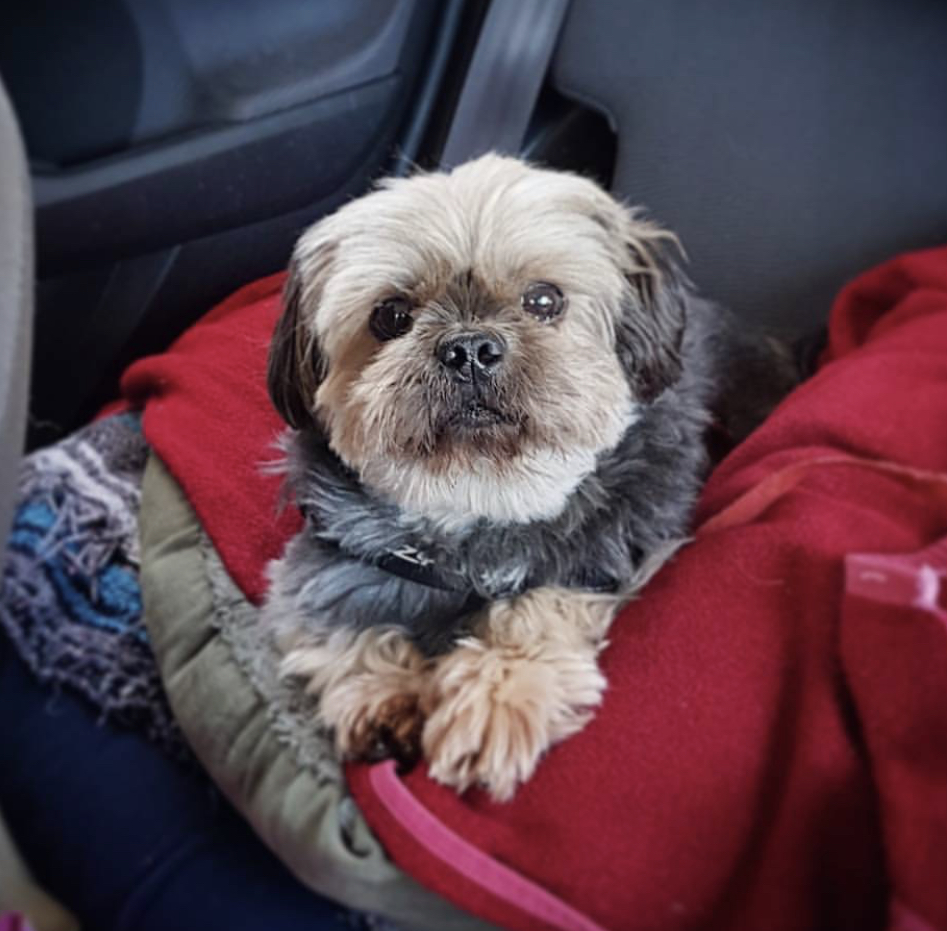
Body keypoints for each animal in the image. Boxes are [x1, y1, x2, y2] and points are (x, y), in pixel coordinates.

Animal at [258, 153, 792, 800]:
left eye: (543, 300)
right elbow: (335, 611)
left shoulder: (610, 554)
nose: (468, 348)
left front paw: (495, 698)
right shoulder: (336, 550)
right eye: (390, 315)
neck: (485, 501)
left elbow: (539, 607)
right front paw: (382, 692)